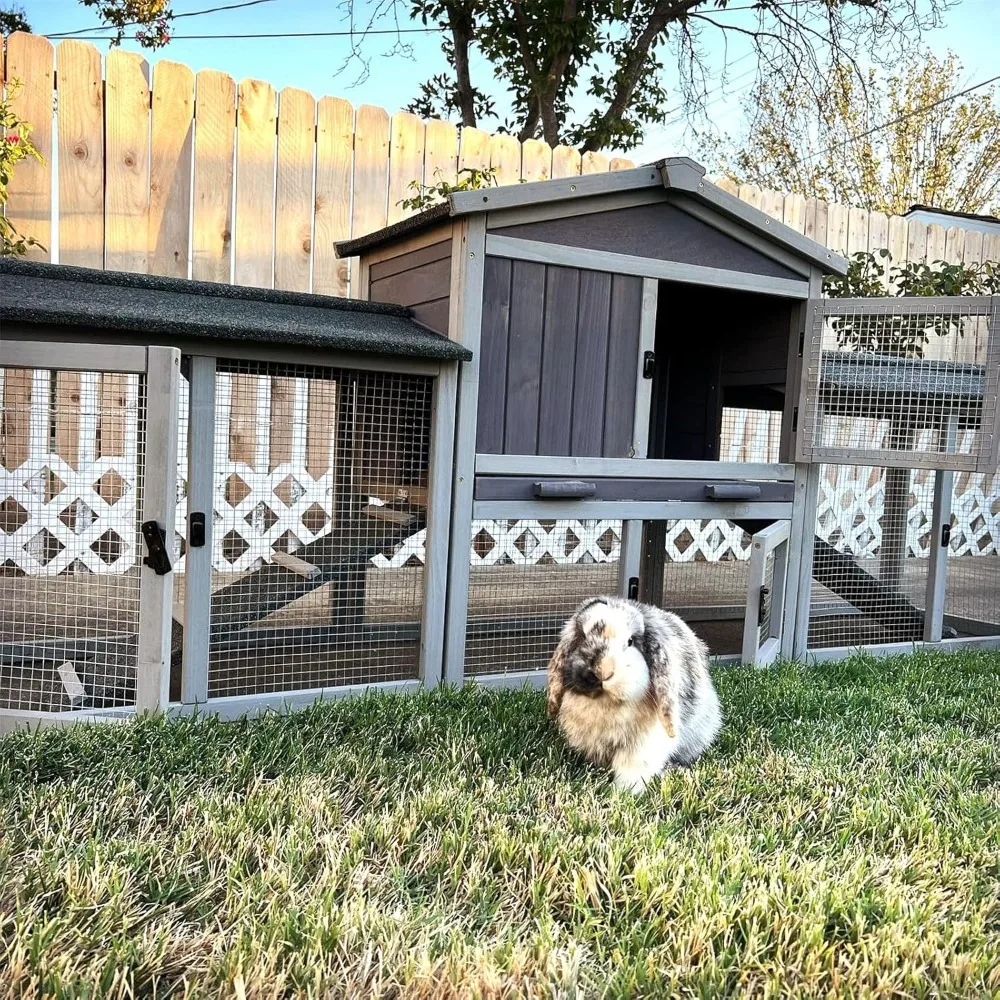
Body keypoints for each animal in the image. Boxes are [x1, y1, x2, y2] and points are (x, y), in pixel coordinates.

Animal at [546, 595, 722, 794]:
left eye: (630, 641)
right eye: (582, 636)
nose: (603, 671)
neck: (606, 703)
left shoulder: (642, 745)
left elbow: (631, 769)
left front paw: (624, 793)